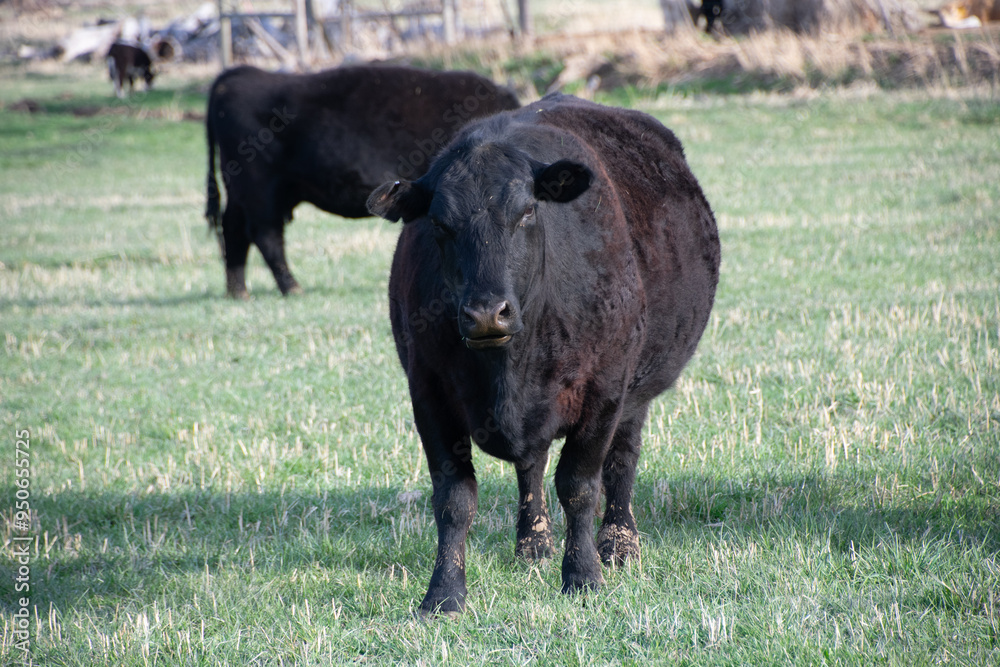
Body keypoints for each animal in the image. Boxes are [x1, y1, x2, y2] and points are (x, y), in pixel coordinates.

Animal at [204, 65, 520, 298]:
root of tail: (239, 75)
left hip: (244, 191)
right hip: (260, 190)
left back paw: (238, 291)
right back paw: (291, 288)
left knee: (234, 229)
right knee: (265, 235)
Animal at [367, 93, 721, 615]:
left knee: (622, 460)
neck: (508, 371)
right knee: (530, 465)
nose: (486, 313)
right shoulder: (428, 392)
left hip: (636, 390)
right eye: (439, 223)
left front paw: (584, 575)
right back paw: (533, 543)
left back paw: (619, 543)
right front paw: (444, 593)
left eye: (527, 212)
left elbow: (579, 485)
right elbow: (454, 499)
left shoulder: (604, 389)